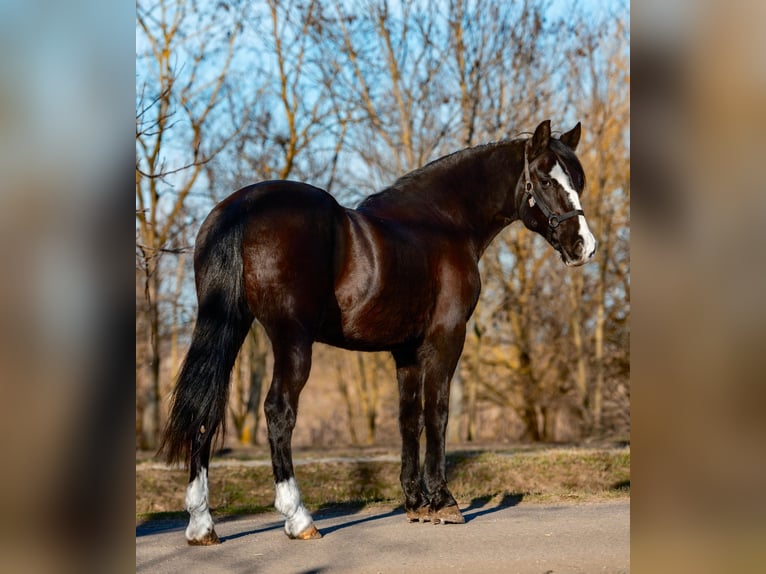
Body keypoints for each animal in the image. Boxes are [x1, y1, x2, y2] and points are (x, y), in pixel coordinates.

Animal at [159, 119, 596, 545]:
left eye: (578, 180)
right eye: (546, 180)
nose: (584, 247)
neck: (443, 223)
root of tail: (245, 206)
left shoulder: (405, 352)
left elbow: (408, 419)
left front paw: (416, 503)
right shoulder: (446, 338)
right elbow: (437, 413)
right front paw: (444, 501)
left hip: (226, 324)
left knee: (206, 407)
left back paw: (202, 524)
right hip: (291, 338)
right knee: (278, 411)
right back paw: (298, 518)